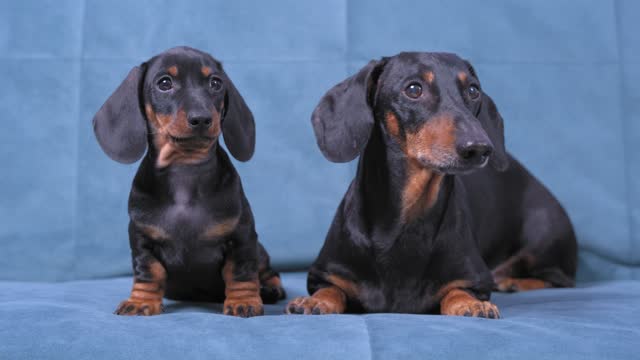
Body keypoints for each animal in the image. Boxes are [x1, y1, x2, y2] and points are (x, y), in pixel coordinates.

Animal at [94, 45, 284, 318]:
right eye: (164, 83)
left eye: (216, 83)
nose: (202, 118)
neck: (185, 170)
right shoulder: (142, 240)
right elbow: (148, 272)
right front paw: (141, 301)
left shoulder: (243, 237)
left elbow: (241, 272)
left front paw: (244, 300)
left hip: (261, 251)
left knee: (268, 271)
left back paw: (269, 288)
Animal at [288, 51, 576, 318]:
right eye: (414, 89)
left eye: (473, 90)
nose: (480, 147)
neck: (406, 219)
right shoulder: (323, 274)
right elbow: (331, 289)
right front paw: (313, 302)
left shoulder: (475, 279)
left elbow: (457, 291)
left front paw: (472, 304)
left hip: (544, 235)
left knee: (560, 279)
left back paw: (512, 282)